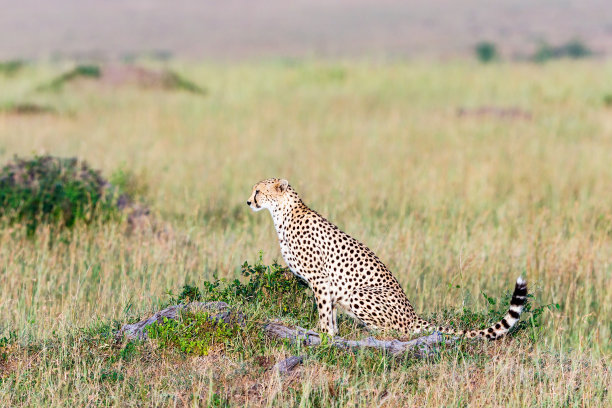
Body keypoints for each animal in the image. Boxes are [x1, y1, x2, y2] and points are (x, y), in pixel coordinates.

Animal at [246, 178, 528, 338]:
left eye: (258, 191)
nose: (248, 202)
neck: (283, 213)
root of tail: (412, 314)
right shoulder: (326, 284)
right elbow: (331, 313)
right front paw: (331, 332)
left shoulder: (320, 280)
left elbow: (325, 311)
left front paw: (323, 334)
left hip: (359, 294)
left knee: (398, 331)